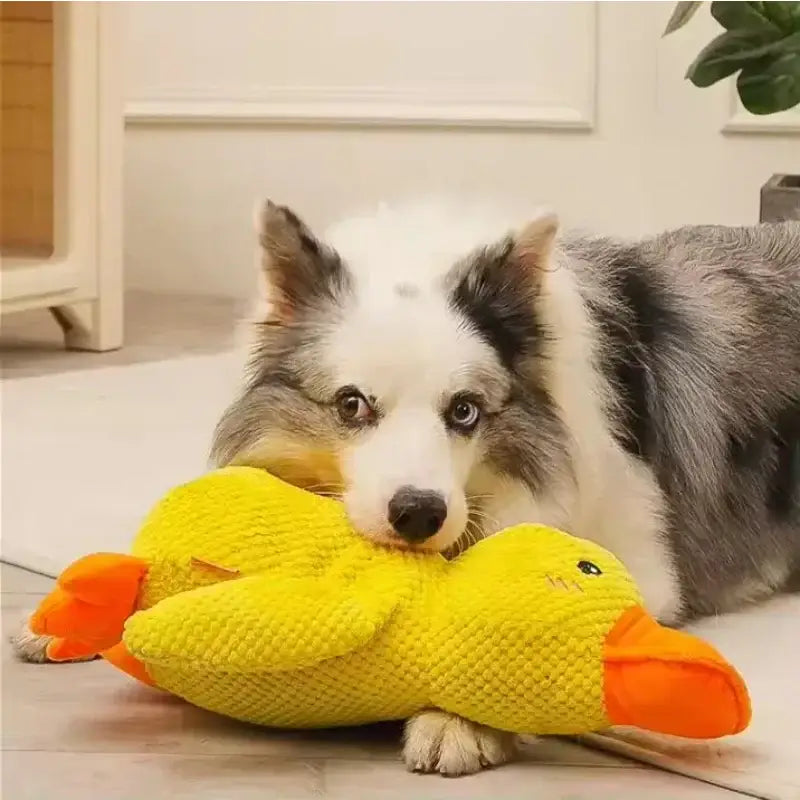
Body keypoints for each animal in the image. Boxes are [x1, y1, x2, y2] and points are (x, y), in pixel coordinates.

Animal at [14, 197, 800, 780]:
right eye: (351, 405)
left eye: (466, 411)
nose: (419, 515)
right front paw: (72, 609)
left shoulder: (644, 561)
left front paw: (460, 722)